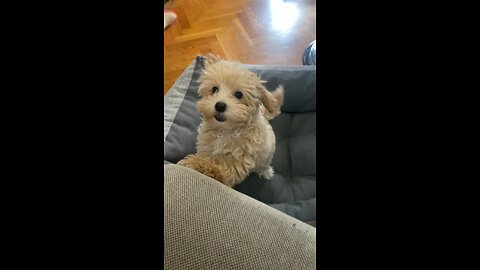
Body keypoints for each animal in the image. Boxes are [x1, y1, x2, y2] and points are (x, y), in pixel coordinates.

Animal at [178, 53, 284, 187]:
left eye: (239, 94)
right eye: (214, 89)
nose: (220, 106)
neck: (225, 130)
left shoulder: (240, 160)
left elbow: (222, 168)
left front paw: (203, 167)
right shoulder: (206, 146)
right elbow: (206, 157)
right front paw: (196, 162)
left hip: (266, 157)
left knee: (263, 166)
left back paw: (266, 172)